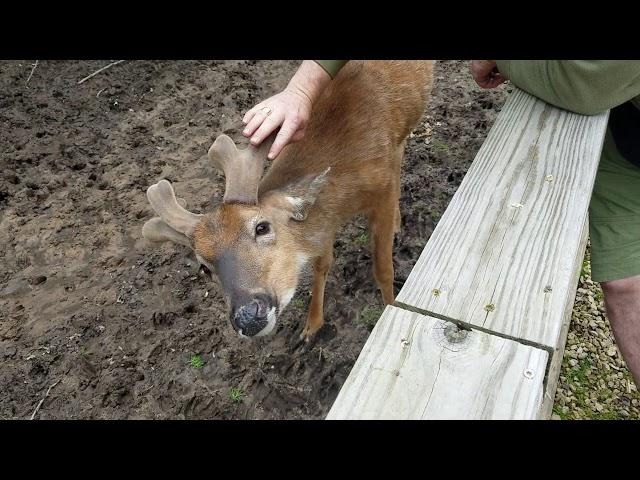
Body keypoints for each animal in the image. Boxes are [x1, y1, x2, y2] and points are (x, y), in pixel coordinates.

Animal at [144, 61, 436, 342]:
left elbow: (383, 269)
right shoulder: (326, 223)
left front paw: (391, 307)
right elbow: (321, 264)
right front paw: (310, 328)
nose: (248, 317)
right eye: (204, 268)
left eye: (261, 227)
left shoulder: (381, 189)